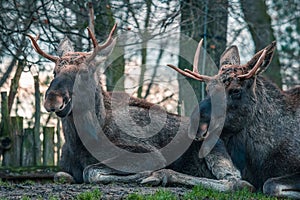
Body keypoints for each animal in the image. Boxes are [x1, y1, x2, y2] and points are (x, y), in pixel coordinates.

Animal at [26, 24, 255, 191]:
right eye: (54, 71)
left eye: (85, 72)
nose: (53, 100)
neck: (81, 142)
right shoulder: (64, 168)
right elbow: (61, 175)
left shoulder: (150, 153)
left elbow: (90, 171)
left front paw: (146, 174)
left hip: (213, 150)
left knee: (236, 182)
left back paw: (161, 176)